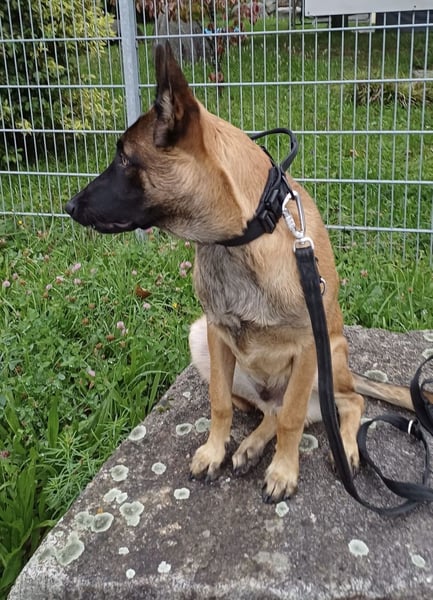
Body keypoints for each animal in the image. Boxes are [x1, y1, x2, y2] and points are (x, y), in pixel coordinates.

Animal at [66, 42, 421, 503]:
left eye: (124, 158)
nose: (69, 206)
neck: (241, 237)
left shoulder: (309, 346)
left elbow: (292, 420)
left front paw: (284, 470)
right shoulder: (217, 334)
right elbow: (220, 404)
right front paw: (215, 451)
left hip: (329, 357)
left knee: (340, 404)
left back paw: (342, 447)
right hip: (202, 340)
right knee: (268, 409)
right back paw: (250, 446)